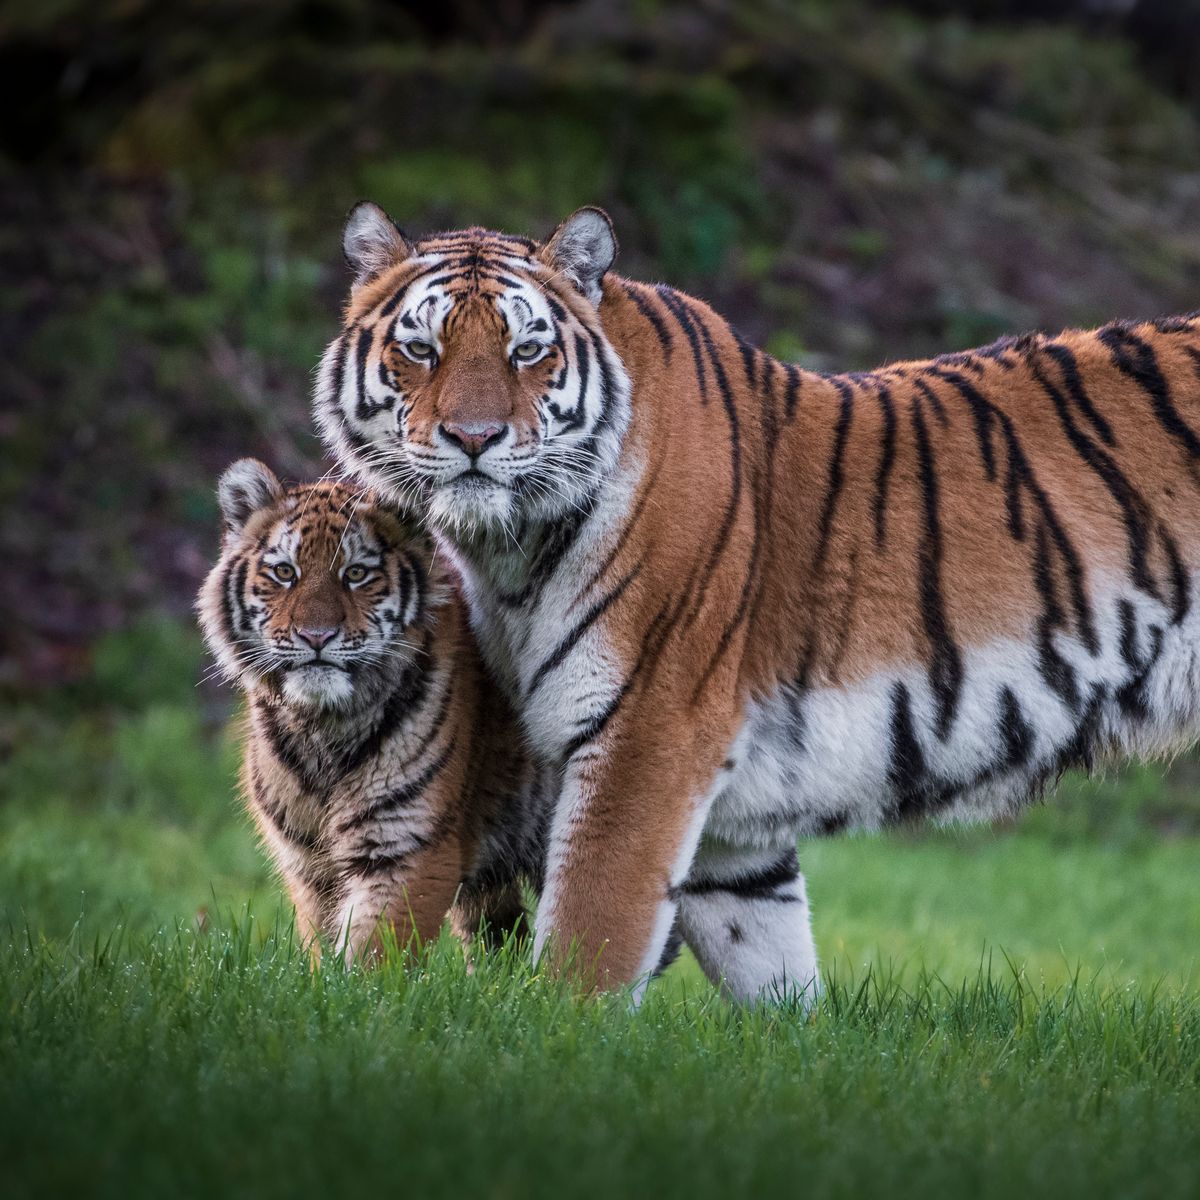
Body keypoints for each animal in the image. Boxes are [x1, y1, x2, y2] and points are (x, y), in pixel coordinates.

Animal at [314, 201, 1200, 998]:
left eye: (527, 350)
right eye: (420, 349)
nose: (474, 439)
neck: (507, 550)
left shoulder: (648, 737)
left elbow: (588, 941)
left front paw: (551, 1037)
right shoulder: (734, 825)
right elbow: (772, 971)